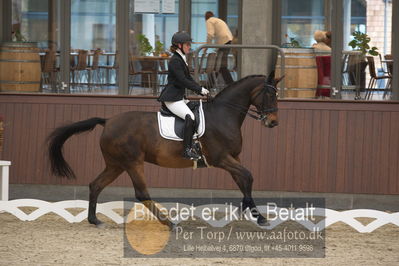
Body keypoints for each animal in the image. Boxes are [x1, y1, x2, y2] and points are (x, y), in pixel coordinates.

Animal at [47, 73, 282, 229]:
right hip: (132, 162)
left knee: (96, 185)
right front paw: (254, 214)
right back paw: (169, 223)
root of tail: (108, 121)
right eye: (269, 95)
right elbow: (248, 176)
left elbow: (243, 181)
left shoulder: (234, 157)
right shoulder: (221, 158)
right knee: (142, 193)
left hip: (116, 164)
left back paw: (95, 220)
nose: (273, 122)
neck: (224, 115)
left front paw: (253, 213)